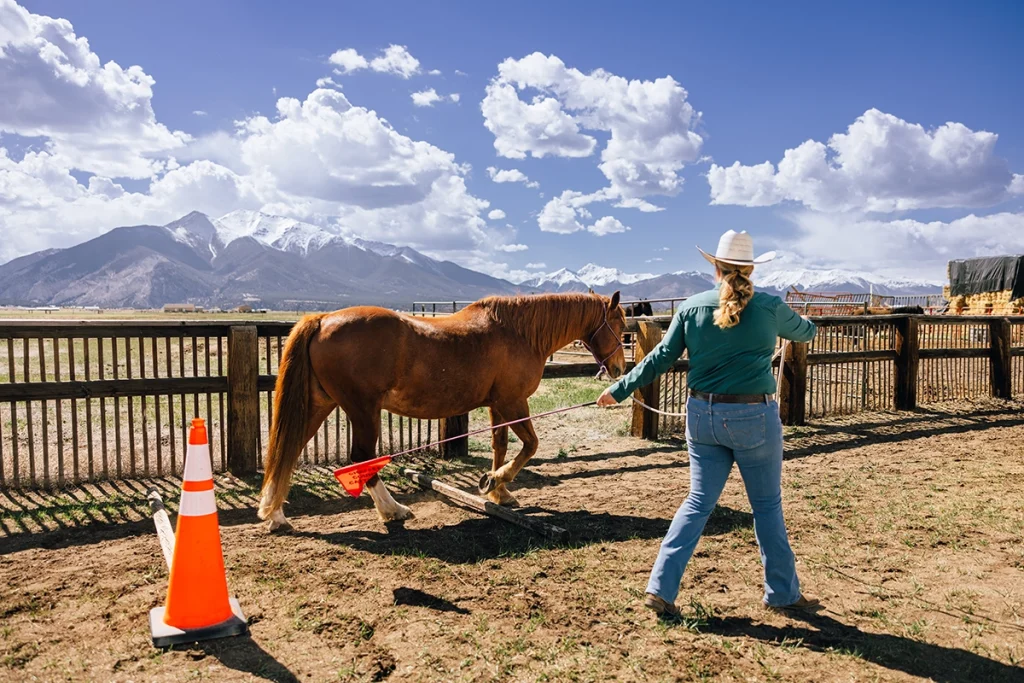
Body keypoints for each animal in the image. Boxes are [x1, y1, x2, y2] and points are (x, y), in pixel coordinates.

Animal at [257, 291, 627, 531]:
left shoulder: (497, 405)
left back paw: (275, 514)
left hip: (321, 405)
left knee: (288, 450)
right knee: (361, 458)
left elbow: (500, 446)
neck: (518, 332)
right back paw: (393, 510)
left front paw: (498, 490)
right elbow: (530, 446)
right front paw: (498, 480)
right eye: (621, 326)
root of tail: (322, 320)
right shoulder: (513, 403)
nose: (620, 369)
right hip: (362, 410)